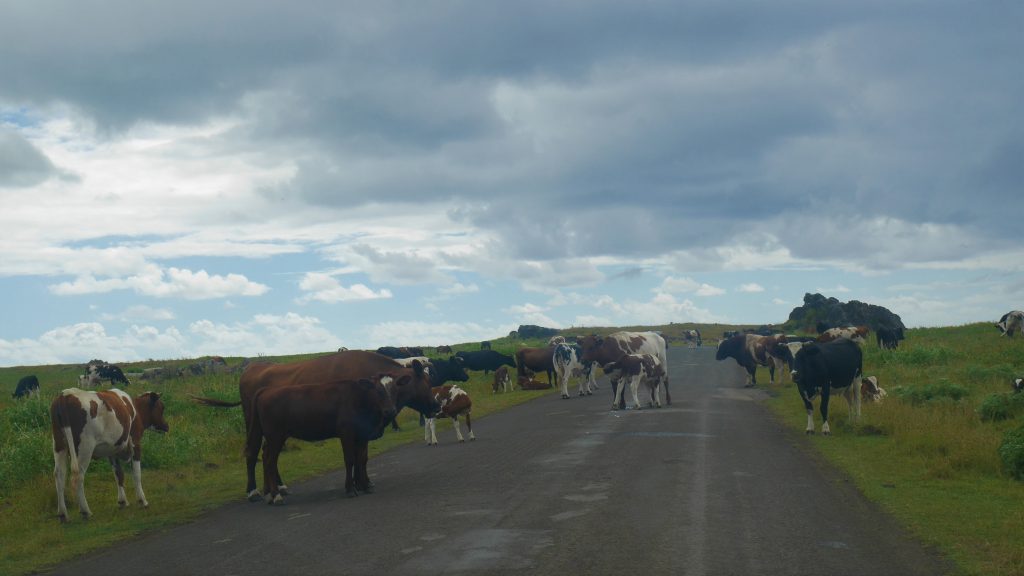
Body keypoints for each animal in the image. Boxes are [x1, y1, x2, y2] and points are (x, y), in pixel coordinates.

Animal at [50, 388, 169, 522]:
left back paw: (63, 514)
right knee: (78, 475)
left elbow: (118, 474)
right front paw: (142, 501)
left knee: (59, 474)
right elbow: (137, 474)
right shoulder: (135, 443)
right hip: (85, 446)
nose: (167, 426)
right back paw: (85, 511)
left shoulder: (113, 451)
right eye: (162, 407)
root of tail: (65, 394)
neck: (135, 409)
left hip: (59, 444)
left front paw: (122, 501)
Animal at [246, 378, 395, 503]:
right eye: (378, 390)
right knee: (270, 461)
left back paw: (269, 493)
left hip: (270, 436)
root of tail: (267, 390)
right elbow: (350, 460)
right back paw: (276, 495)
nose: (391, 410)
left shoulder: (362, 435)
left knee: (265, 455)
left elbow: (362, 459)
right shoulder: (346, 433)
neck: (358, 399)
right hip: (275, 436)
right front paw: (350, 489)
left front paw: (365, 486)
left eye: (394, 388)